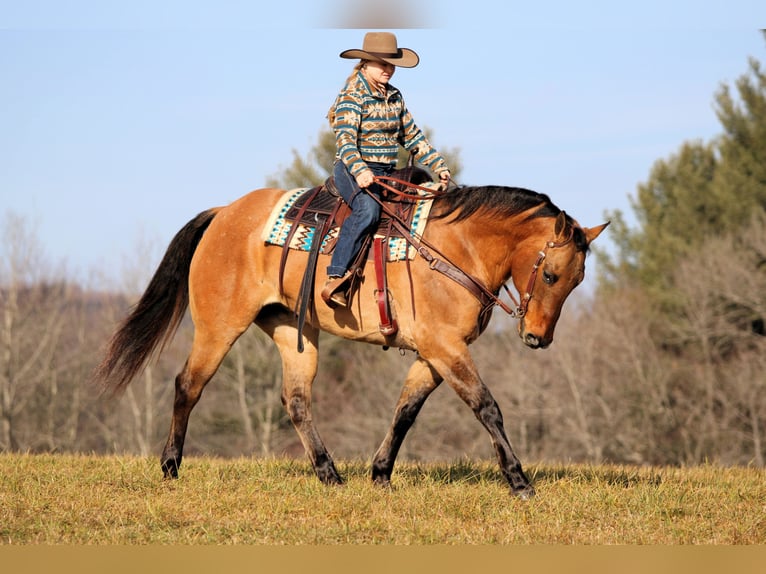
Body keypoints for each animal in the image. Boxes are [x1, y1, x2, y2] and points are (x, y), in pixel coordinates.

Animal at [92, 178, 608, 499]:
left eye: (578, 281)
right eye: (552, 274)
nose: (537, 338)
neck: (457, 249)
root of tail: (223, 213)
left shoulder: (432, 354)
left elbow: (405, 412)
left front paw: (380, 475)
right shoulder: (446, 348)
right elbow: (487, 407)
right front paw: (520, 482)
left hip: (294, 332)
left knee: (296, 400)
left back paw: (330, 473)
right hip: (220, 328)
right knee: (188, 386)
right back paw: (170, 466)